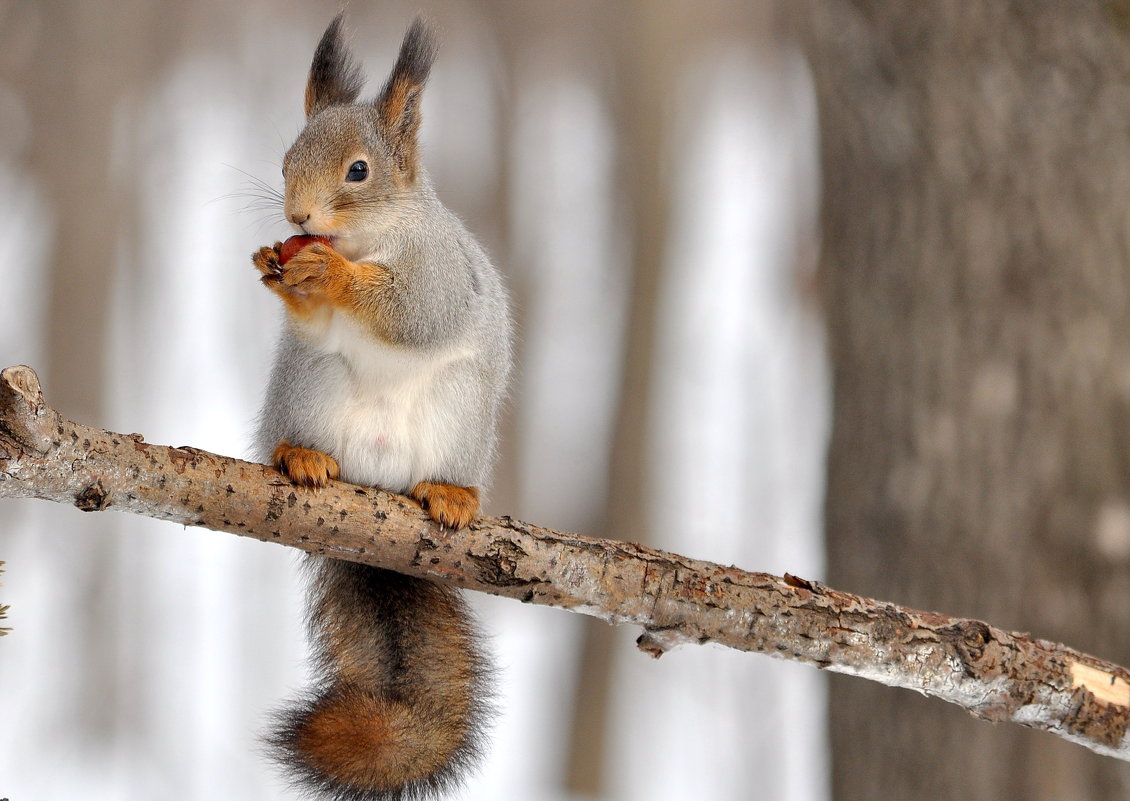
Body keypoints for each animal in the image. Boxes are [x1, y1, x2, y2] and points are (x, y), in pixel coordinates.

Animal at [251, 14, 513, 799]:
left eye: (359, 171)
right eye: (287, 159)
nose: (297, 214)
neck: (365, 239)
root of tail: (378, 486)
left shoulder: (436, 275)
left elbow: (408, 311)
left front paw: (330, 273)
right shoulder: (313, 338)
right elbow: (312, 321)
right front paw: (280, 268)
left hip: (458, 416)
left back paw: (450, 495)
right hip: (310, 387)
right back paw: (302, 456)